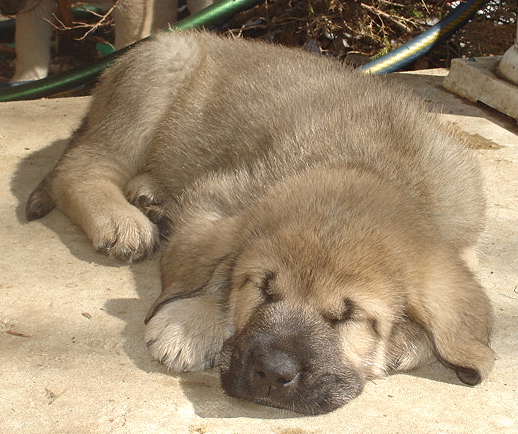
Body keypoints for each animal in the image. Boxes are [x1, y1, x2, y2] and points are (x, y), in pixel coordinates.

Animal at [26, 30, 498, 414]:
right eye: (262, 290)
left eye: (348, 318)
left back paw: (149, 197)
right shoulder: (216, 199)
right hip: (156, 79)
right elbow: (208, 270)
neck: (372, 168)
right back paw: (121, 218)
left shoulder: (461, 252)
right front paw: (192, 321)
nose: (272, 374)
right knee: (81, 166)